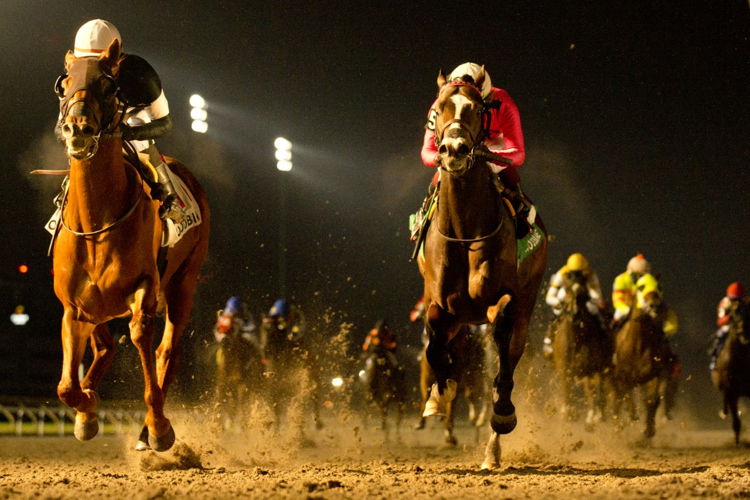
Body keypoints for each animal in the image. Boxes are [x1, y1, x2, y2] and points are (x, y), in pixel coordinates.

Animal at [50, 41, 209, 452]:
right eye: (65, 84)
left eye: (109, 86)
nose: (78, 128)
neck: (97, 222)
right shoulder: (74, 307)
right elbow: (66, 387)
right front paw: (87, 411)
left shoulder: (145, 289)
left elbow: (141, 338)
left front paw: (158, 428)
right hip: (100, 307)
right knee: (105, 347)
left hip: (184, 282)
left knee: (167, 349)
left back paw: (147, 430)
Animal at [418, 67, 548, 468]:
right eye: (437, 111)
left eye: (477, 109)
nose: (455, 149)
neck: (464, 230)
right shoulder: (441, 305)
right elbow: (434, 347)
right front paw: (439, 394)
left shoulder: (500, 301)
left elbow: (501, 361)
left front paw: (502, 413)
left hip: (525, 304)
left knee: (508, 355)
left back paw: (493, 447)